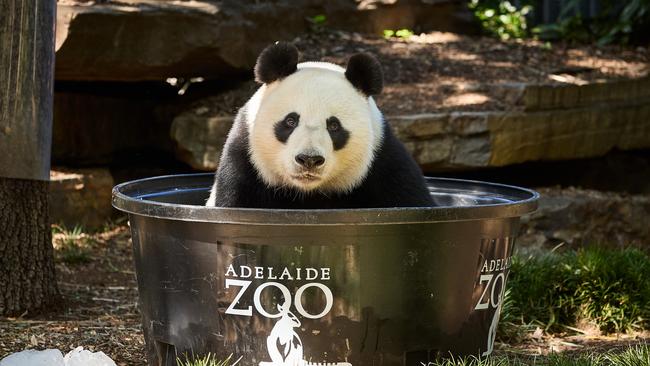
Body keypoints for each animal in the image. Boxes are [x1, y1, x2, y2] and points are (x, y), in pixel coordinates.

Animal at [205, 42, 432, 209]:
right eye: (290, 121)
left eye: (334, 126)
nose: (309, 160)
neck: (307, 193)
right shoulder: (245, 161)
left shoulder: (384, 161)